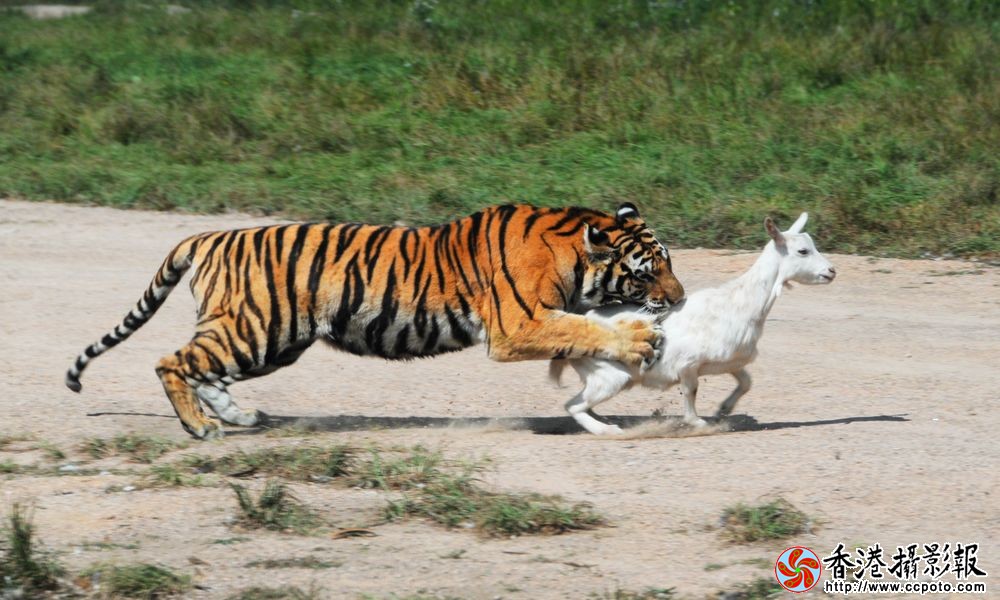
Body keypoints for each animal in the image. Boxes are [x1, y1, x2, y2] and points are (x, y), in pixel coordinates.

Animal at [65, 202, 685, 439]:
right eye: (648, 271)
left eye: (671, 263)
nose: (678, 300)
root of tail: (210, 236)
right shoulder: (519, 325)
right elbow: (583, 327)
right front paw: (638, 340)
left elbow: (583, 328)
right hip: (257, 328)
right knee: (172, 361)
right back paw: (200, 427)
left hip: (269, 341)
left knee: (206, 369)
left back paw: (238, 417)